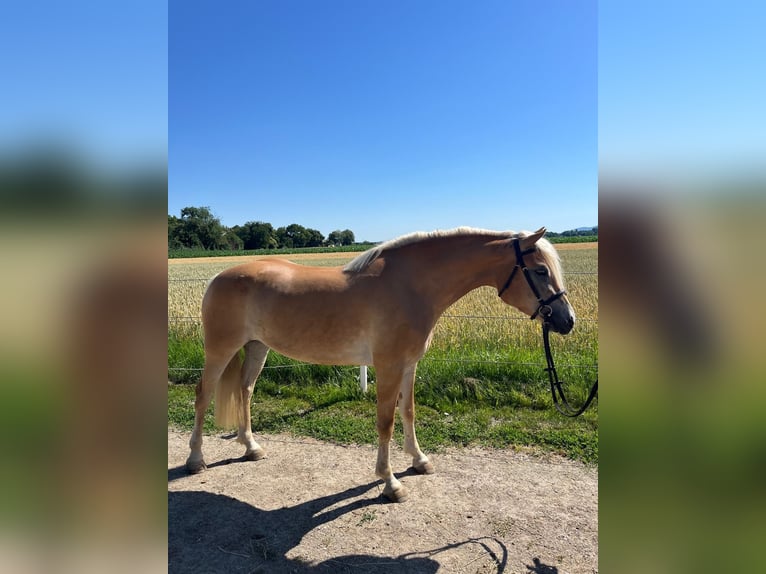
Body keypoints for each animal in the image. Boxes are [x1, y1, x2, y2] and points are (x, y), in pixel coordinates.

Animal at [185, 227, 575, 502]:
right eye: (540, 271)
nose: (567, 320)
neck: (410, 286)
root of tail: (218, 277)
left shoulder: (409, 365)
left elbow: (409, 412)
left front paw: (419, 460)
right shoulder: (388, 367)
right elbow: (385, 422)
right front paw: (390, 483)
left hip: (257, 348)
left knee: (245, 390)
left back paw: (251, 447)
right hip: (220, 349)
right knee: (203, 394)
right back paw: (196, 459)